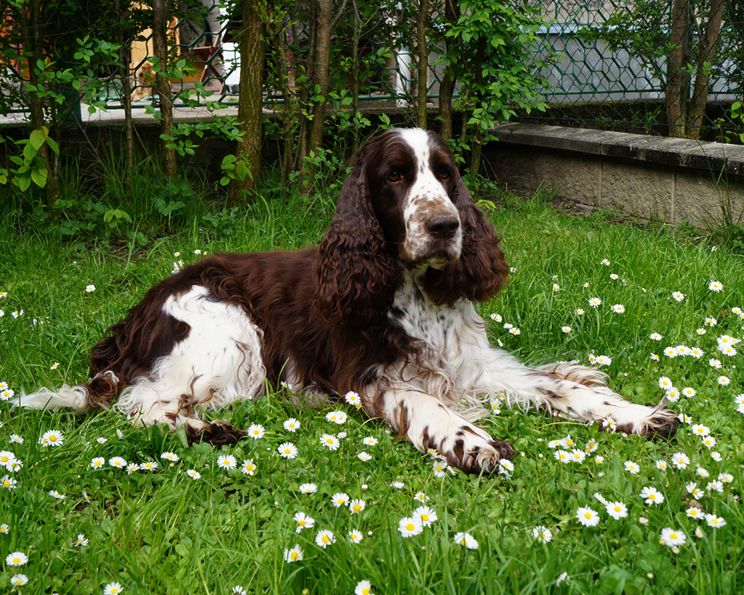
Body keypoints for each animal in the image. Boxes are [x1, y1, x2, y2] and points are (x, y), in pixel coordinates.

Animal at [17, 128, 680, 472]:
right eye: (395, 176)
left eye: (446, 174)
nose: (445, 226)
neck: (413, 291)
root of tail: (130, 321)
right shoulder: (369, 376)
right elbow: (427, 404)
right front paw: (473, 441)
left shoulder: (472, 366)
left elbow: (560, 387)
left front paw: (637, 414)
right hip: (226, 329)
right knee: (139, 405)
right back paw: (211, 432)